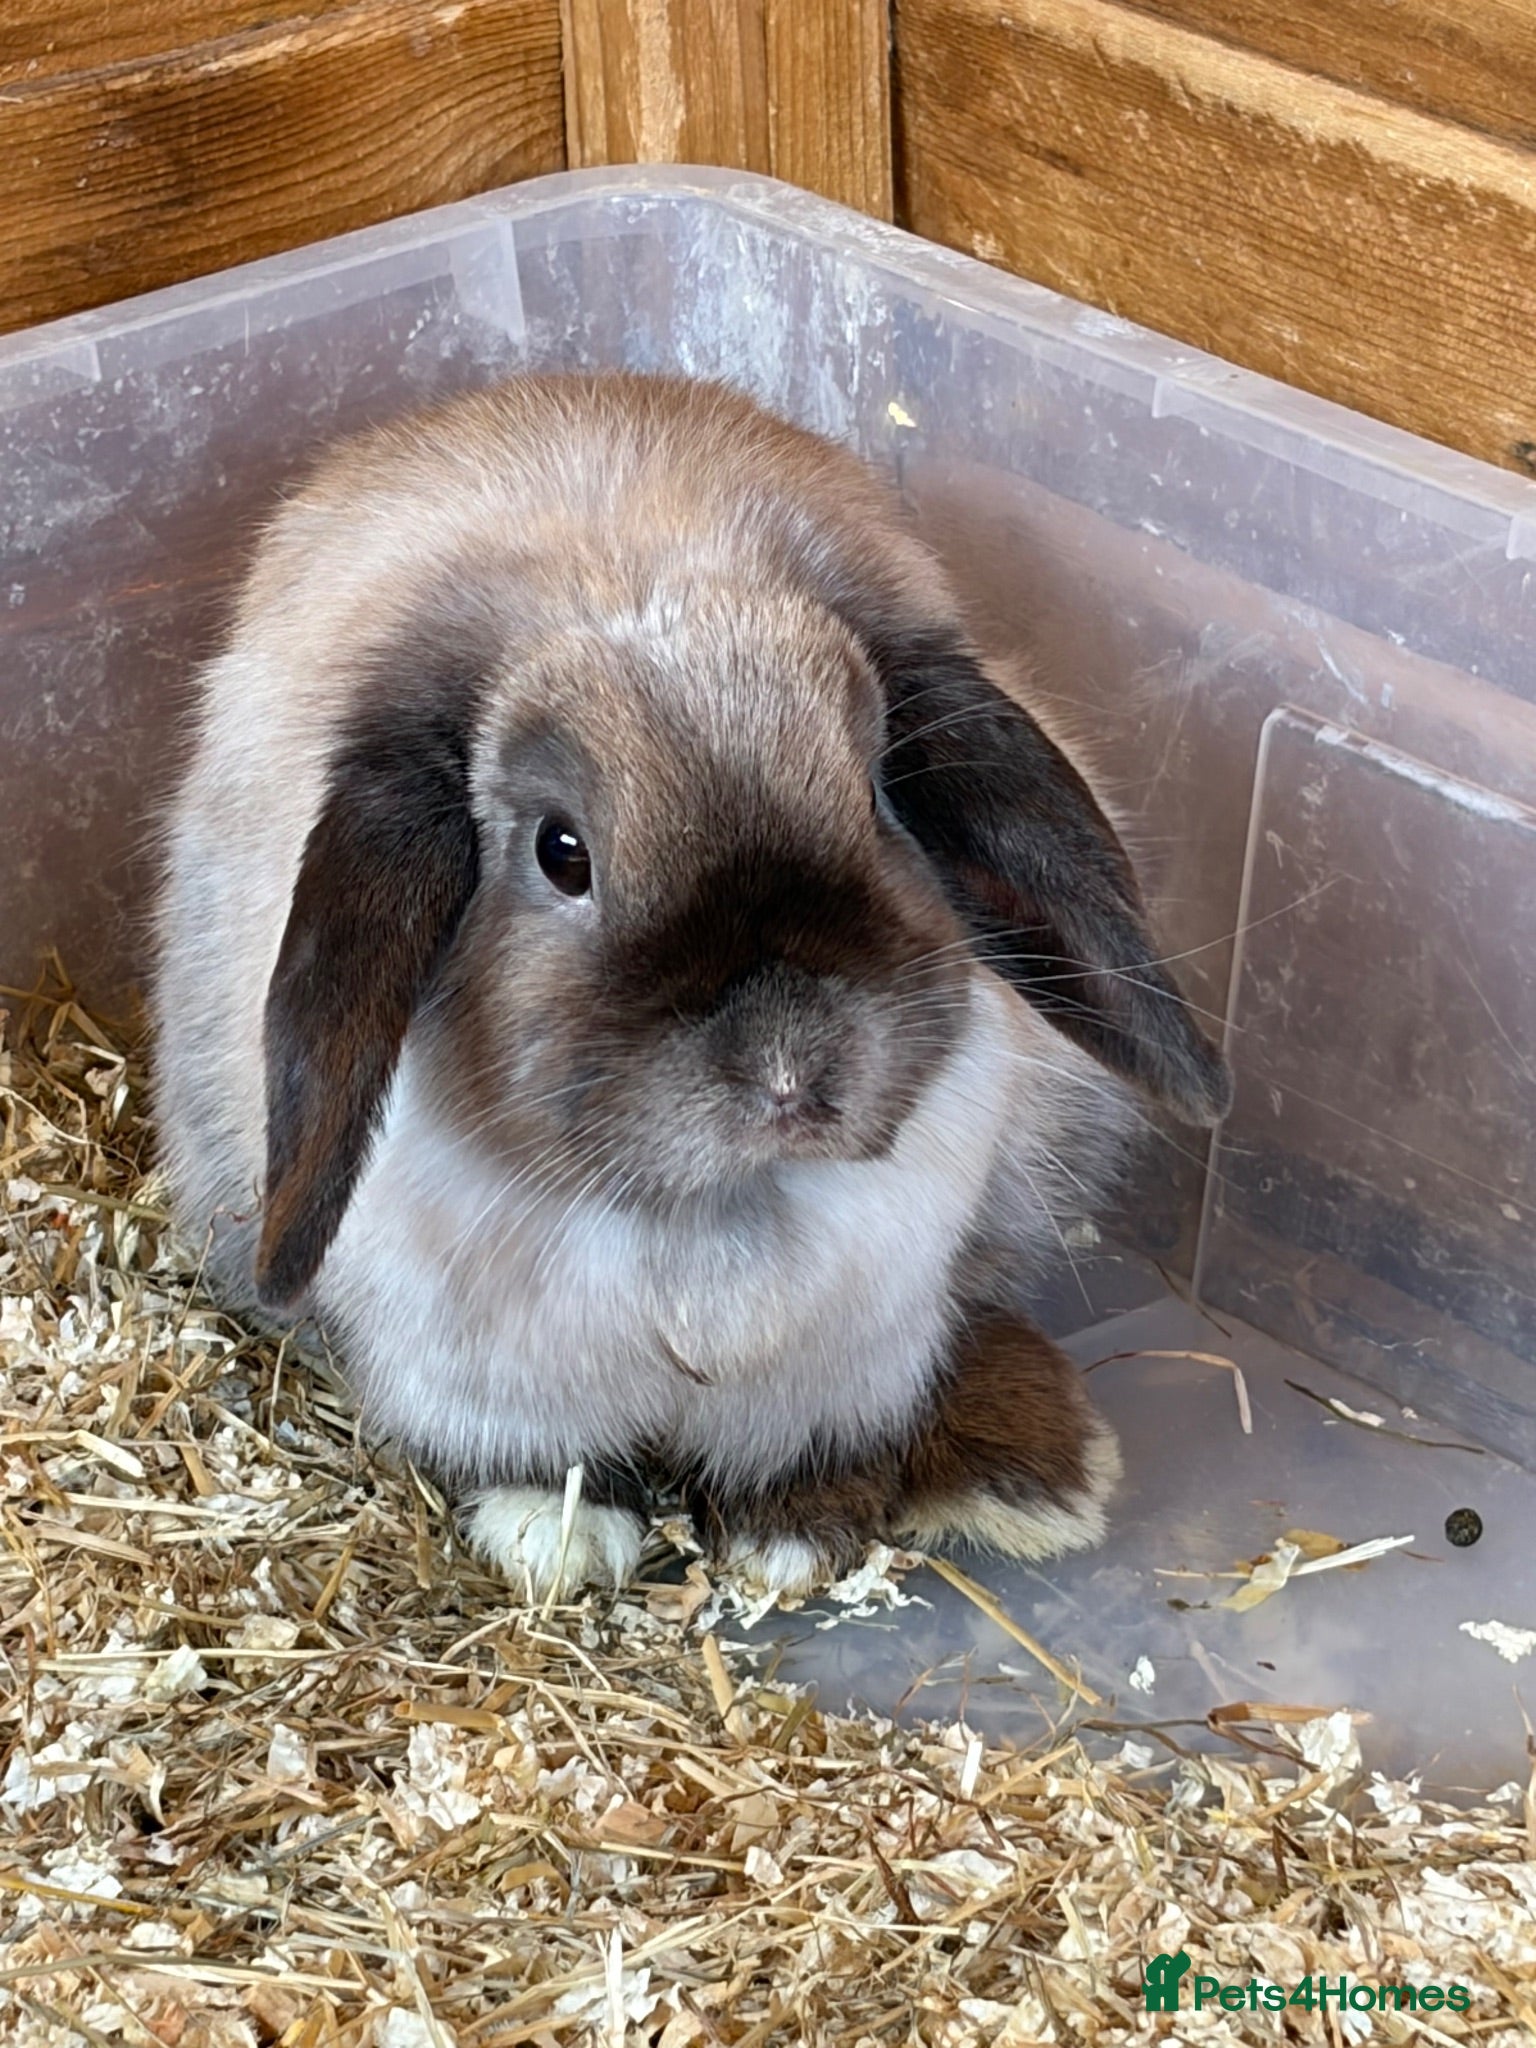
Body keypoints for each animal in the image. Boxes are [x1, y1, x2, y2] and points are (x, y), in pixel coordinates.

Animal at [153, 371, 1230, 1601]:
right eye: (561, 852)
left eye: (877, 796)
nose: (789, 1072)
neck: (716, 1214)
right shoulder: (481, 1379)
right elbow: (550, 1460)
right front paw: (559, 1533)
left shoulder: (845, 1371)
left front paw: (794, 1534)